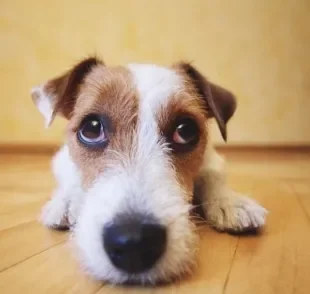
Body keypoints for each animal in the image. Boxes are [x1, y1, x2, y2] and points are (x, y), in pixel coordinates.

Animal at [31, 57, 268, 284]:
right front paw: (67, 201)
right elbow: (72, 178)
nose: (133, 242)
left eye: (186, 130)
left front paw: (231, 202)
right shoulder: (64, 160)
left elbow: (213, 175)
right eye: (91, 128)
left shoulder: (211, 158)